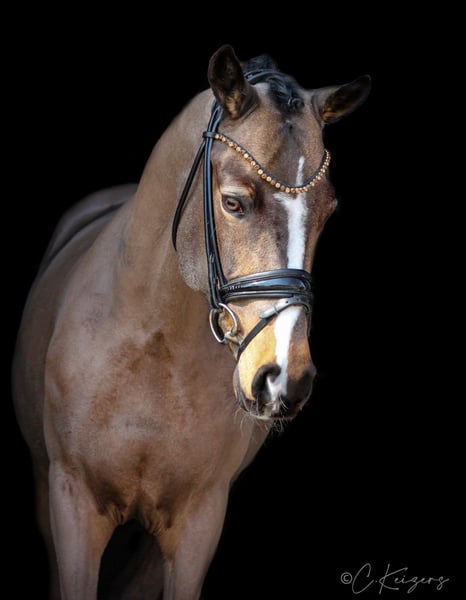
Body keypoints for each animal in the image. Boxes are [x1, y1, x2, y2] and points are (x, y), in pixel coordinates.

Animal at [12, 44, 370, 599]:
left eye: (327, 211)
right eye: (233, 202)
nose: (283, 379)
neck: (154, 348)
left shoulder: (199, 523)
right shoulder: (72, 505)